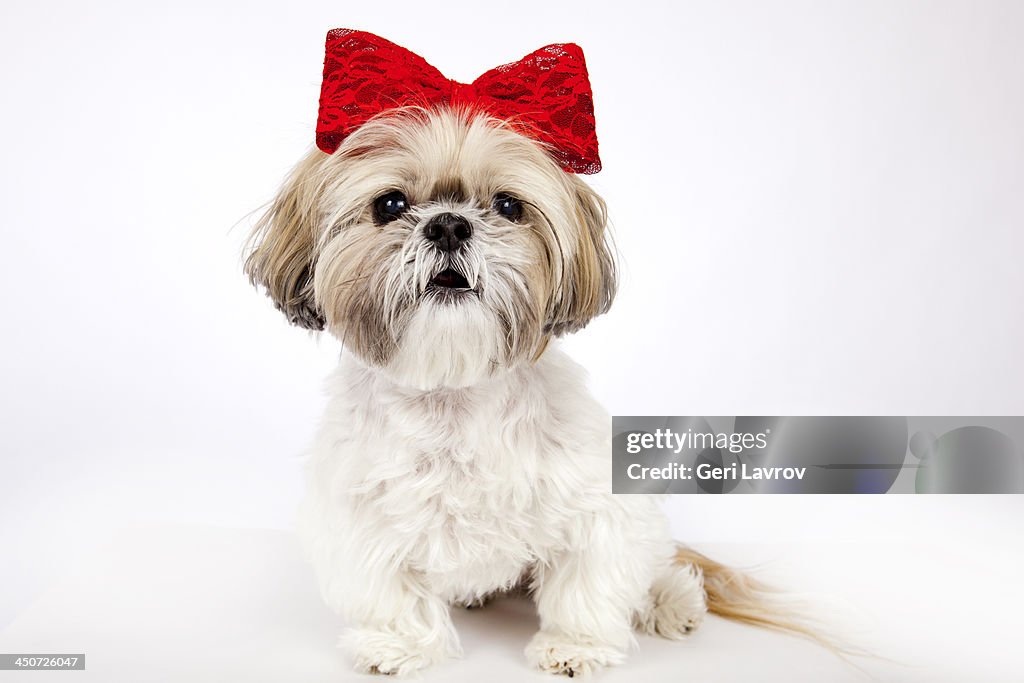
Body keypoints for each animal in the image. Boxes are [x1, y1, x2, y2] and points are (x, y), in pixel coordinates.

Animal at [243, 28, 794, 679]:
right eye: (390, 205)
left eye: (508, 206)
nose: (449, 225)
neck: (453, 394)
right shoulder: (361, 519)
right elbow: (392, 593)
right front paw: (399, 645)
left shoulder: (599, 508)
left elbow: (588, 583)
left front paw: (575, 646)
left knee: (654, 563)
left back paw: (671, 600)